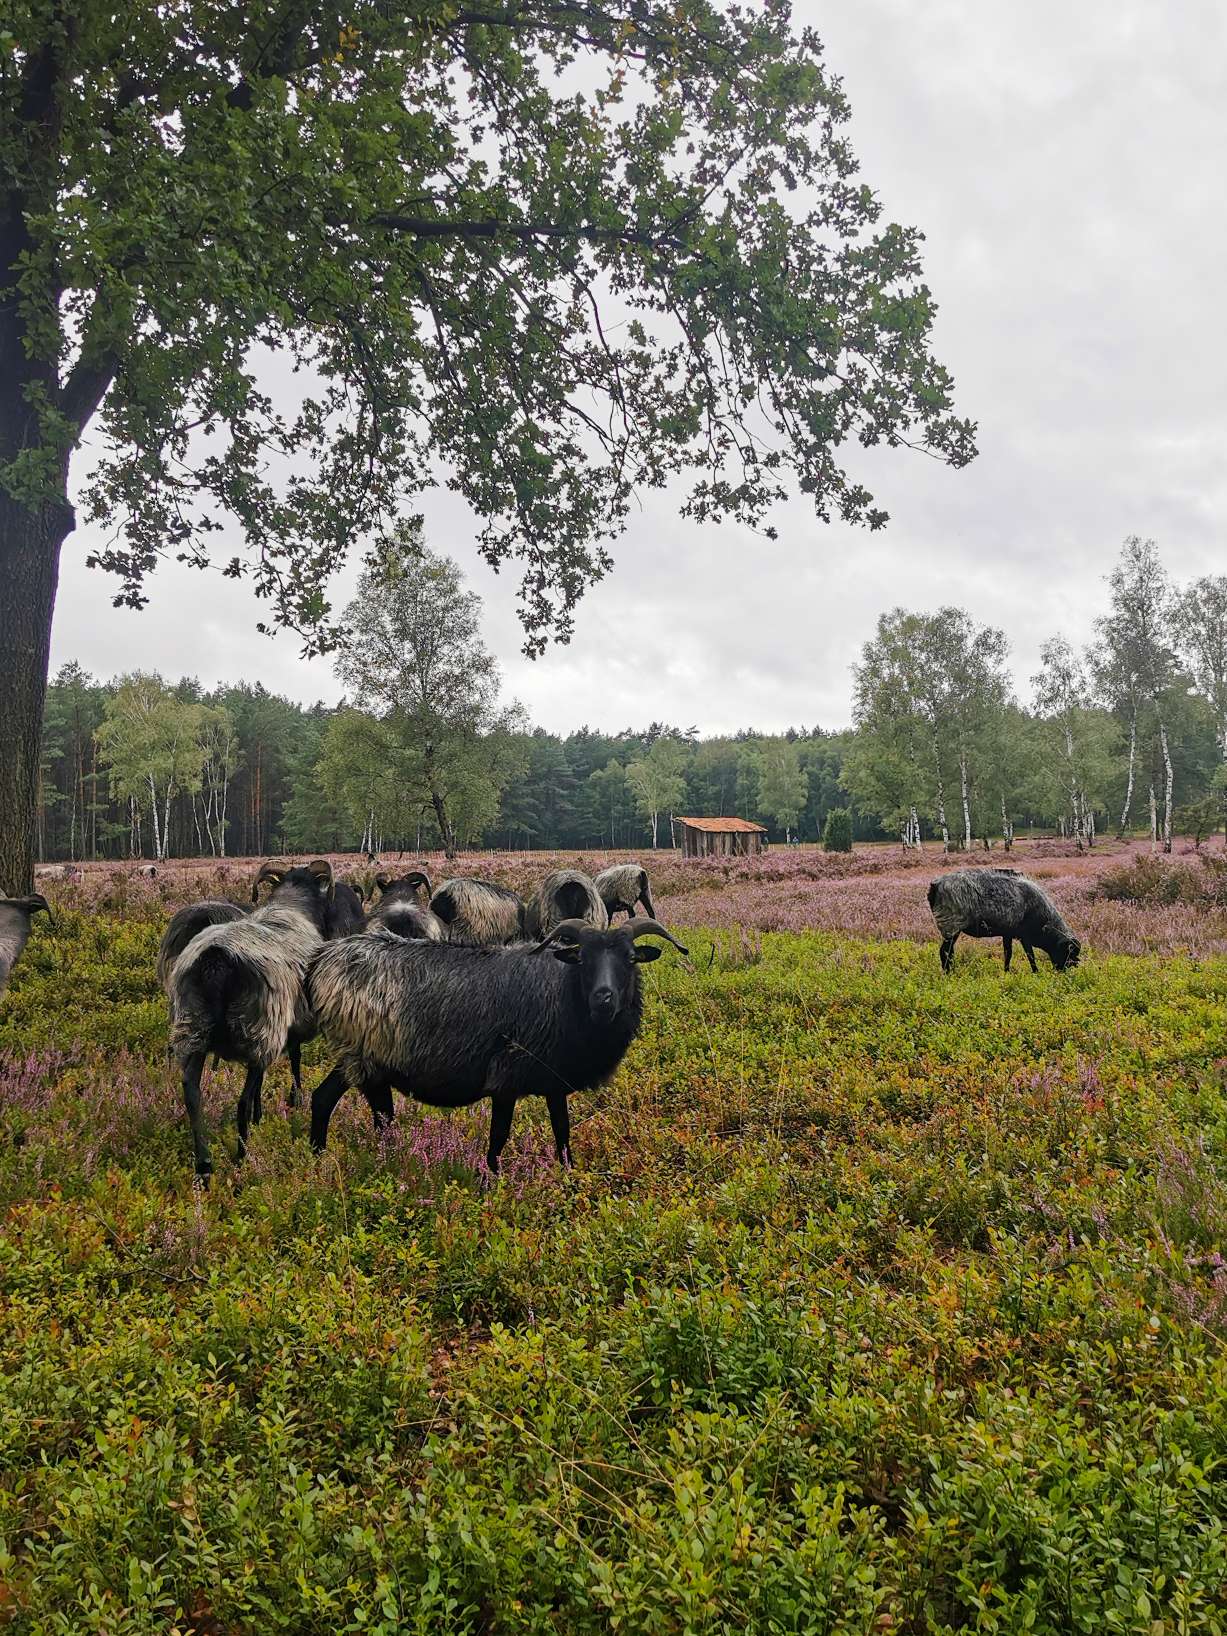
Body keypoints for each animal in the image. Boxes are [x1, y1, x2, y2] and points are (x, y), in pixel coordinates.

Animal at [168, 857, 338, 1177]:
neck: (290, 906)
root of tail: (216, 960)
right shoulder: (289, 1026)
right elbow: (294, 1061)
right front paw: (293, 1100)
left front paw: (263, 1117)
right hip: (260, 1028)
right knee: (241, 1101)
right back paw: (242, 1157)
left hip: (193, 1028)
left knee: (192, 1093)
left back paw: (204, 1165)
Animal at [307, 916, 693, 1171]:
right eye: (582, 957)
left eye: (630, 958)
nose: (603, 998)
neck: (564, 994)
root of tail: (321, 961)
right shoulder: (506, 1078)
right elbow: (498, 1138)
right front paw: (491, 1182)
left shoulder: (554, 1082)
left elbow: (562, 1134)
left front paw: (568, 1176)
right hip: (363, 1054)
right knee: (359, 1109)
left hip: (365, 1058)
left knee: (343, 1104)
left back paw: (328, 1159)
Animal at [929, 870, 1086, 968]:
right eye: (1068, 952)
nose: (1065, 971)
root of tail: (935, 885)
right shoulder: (1025, 936)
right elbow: (1031, 956)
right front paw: (1036, 972)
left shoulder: (1008, 933)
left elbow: (1008, 954)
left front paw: (1006, 972)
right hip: (951, 926)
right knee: (945, 952)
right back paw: (948, 975)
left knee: (948, 952)